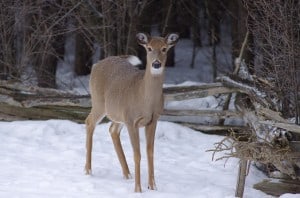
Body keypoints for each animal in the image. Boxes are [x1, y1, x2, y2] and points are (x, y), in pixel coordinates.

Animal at [84, 32, 178, 192]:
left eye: (164, 48)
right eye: (149, 48)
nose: (156, 64)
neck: (145, 99)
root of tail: (96, 65)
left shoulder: (153, 119)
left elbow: (150, 152)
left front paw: (152, 186)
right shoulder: (132, 120)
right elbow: (137, 154)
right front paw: (138, 189)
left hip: (118, 113)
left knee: (112, 130)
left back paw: (127, 174)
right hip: (98, 102)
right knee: (89, 122)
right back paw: (88, 170)